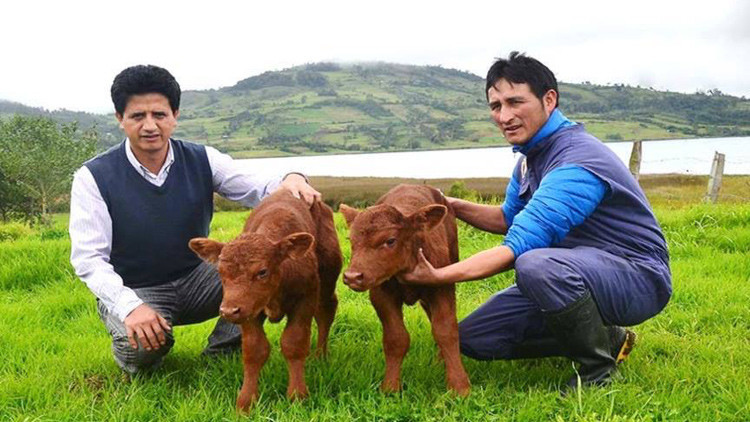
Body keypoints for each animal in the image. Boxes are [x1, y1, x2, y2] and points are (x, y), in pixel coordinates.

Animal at [189, 190, 342, 408]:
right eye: (220, 271)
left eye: (262, 272)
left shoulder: (305, 299)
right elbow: (254, 350)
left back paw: (320, 356)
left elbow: (294, 343)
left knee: (325, 312)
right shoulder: (249, 310)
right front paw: (246, 402)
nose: (228, 311)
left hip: (328, 277)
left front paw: (297, 395)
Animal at [340, 184, 470, 396]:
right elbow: (396, 339)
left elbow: (446, 331)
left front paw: (459, 386)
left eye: (390, 241)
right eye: (351, 240)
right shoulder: (381, 295)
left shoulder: (442, 286)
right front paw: (390, 387)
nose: (352, 276)